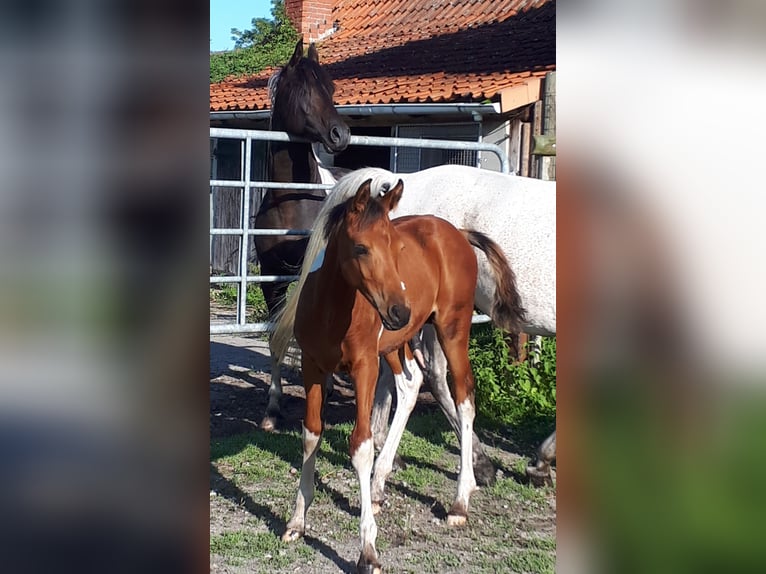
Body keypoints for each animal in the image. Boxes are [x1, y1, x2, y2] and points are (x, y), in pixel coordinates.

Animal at [270, 177, 528, 574]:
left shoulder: (364, 367)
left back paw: (460, 501)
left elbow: (360, 445)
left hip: (451, 329)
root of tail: (457, 233)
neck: (331, 310)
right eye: (361, 248)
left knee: (464, 397)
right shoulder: (313, 367)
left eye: (397, 247)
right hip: (397, 343)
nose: (398, 311)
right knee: (410, 385)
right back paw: (378, 489)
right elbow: (311, 434)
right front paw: (296, 523)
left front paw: (368, 551)